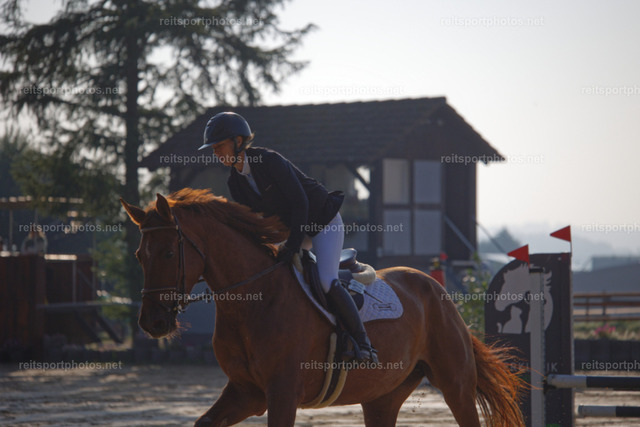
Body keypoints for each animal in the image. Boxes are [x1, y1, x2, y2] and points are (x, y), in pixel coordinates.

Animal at [120, 188, 525, 427]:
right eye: (139, 255)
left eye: (168, 253)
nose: (153, 322)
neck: (252, 299)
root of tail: (434, 287)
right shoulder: (246, 392)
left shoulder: (282, 392)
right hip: (382, 397)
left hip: (455, 384)